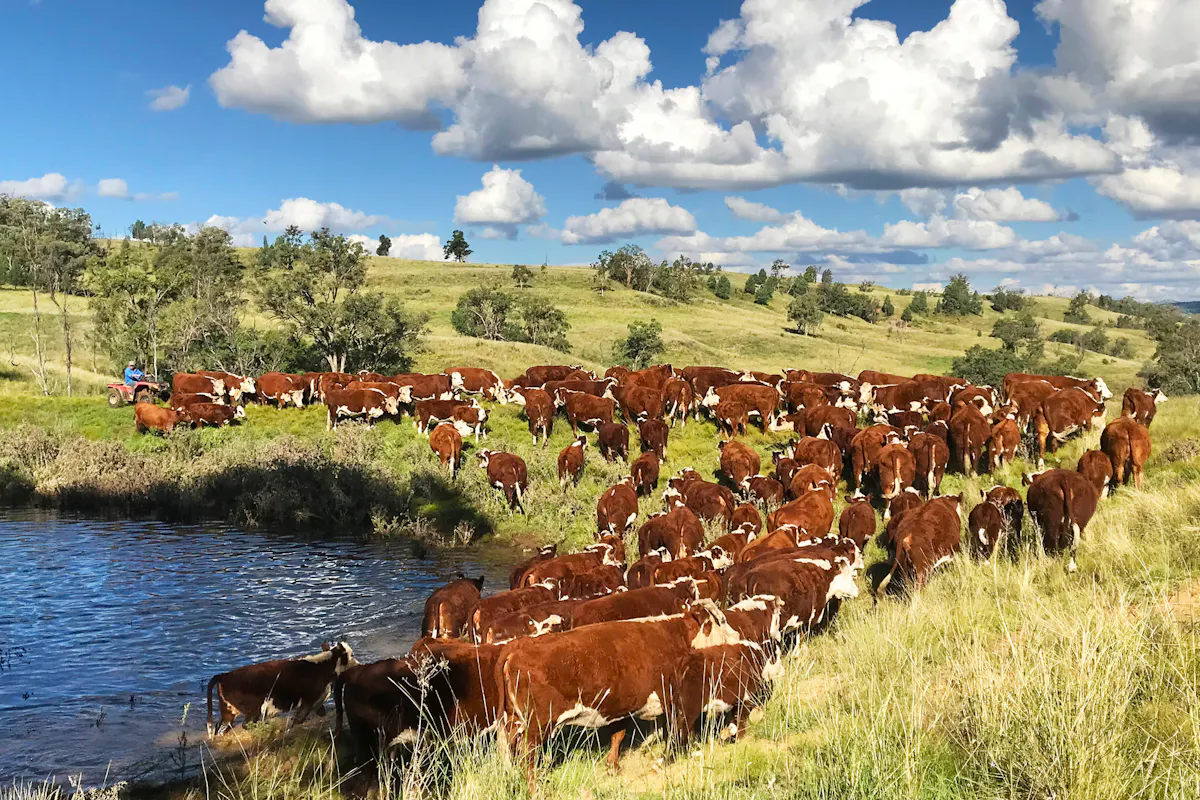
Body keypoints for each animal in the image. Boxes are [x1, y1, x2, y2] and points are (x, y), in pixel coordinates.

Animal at [207, 642, 356, 735]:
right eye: (352, 655)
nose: (358, 663)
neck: (321, 667)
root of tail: (224, 675)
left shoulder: (318, 702)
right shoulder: (307, 702)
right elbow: (297, 720)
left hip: (229, 711)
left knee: (219, 728)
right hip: (254, 710)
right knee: (246, 724)